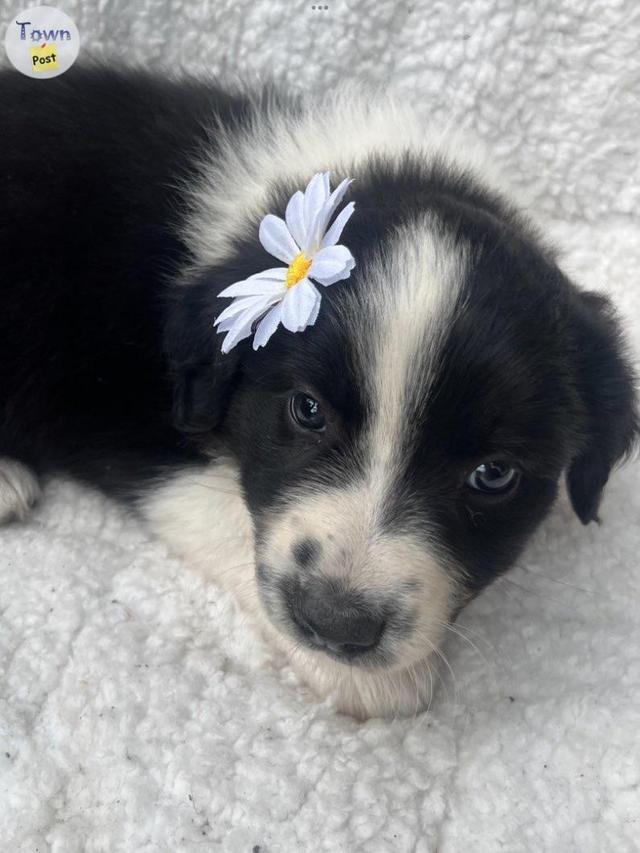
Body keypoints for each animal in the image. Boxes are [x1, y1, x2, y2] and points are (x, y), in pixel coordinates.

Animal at [0, 68, 636, 720]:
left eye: (494, 475)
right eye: (307, 411)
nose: (337, 625)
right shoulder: (113, 411)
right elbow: (221, 507)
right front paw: (371, 680)